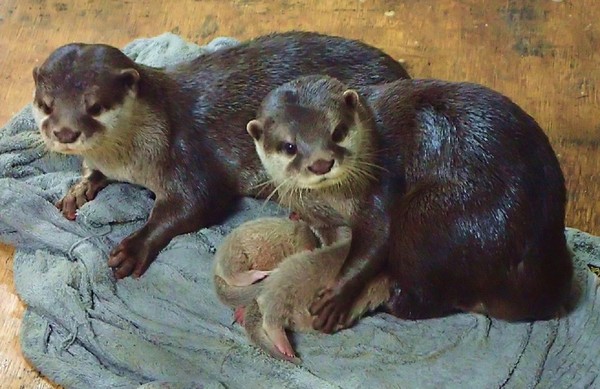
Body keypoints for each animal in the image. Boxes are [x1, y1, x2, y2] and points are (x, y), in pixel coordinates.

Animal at [31, 31, 408, 278]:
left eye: (94, 106)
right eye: (46, 105)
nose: (65, 132)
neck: (129, 160)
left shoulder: (184, 151)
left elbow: (195, 203)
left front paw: (133, 247)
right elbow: (92, 171)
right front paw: (78, 189)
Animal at [246, 75, 576, 330]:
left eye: (337, 131)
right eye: (289, 146)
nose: (320, 163)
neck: (334, 202)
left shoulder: (382, 181)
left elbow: (378, 236)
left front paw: (335, 297)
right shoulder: (320, 217)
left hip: (432, 217)